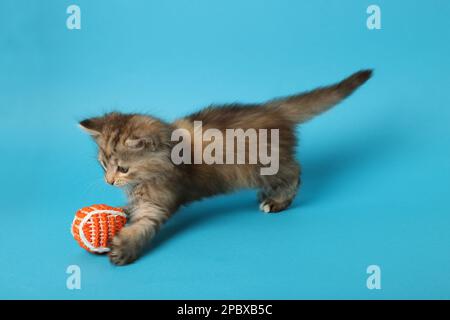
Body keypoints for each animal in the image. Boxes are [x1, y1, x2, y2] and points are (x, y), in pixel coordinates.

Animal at [78, 70, 372, 264]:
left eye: (123, 169)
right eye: (103, 166)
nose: (109, 181)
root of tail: (273, 109)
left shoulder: (159, 202)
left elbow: (143, 225)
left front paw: (124, 248)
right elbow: (128, 210)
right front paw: (120, 214)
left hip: (265, 167)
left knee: (295, 172)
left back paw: (277, 201)